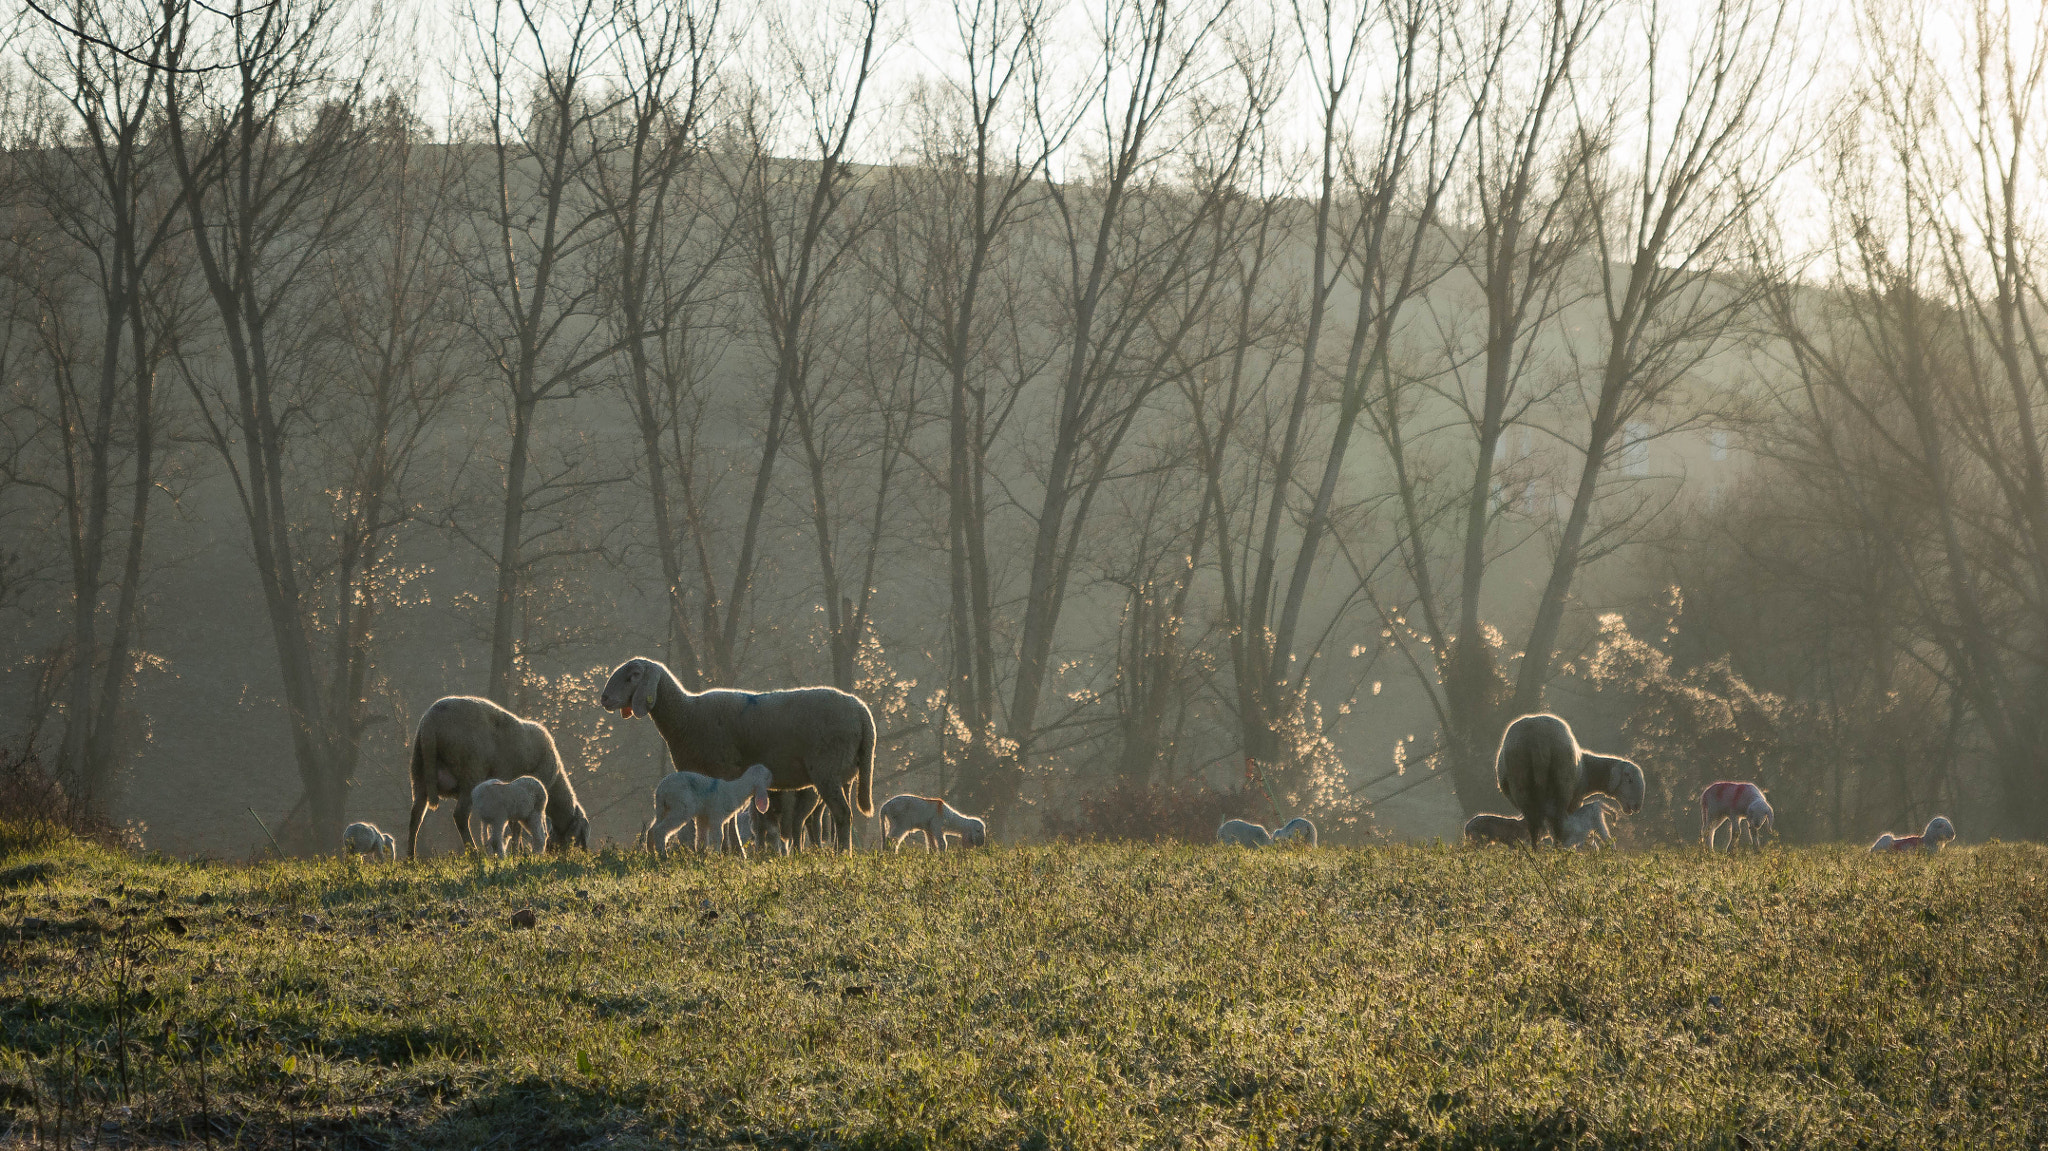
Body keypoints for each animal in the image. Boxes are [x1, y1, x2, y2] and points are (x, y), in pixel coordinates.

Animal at [406, 695, 591, 860]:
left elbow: (514, 825)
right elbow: (516, 826)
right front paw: (517, 852)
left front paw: (517, 851)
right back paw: (473, 853)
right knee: (460, 815)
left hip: (419, 771)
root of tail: (431, 722)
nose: (558, 853)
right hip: (471, 770)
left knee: (415, 816)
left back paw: (411, 858)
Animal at [645, 763, 775, 861]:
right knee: (660, 830)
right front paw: (717, 856)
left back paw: (651, 854)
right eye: (768, 776)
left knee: (651, 829)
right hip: (680, 808)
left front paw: (702, 855)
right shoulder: (716, 816)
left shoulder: (703, 817)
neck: (735, 790)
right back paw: (663, 856)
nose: (774, 781)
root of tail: (661, 790)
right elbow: (719, 837)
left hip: (663, 809)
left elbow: (702, 837)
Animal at [1494, 713, 1646, 847]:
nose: (1637, 806)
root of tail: (1537, 738)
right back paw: (1559, 850)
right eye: (1630, 780)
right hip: (1563, 783)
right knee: (1557, 824)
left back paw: (1536, 852)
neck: (1588, 770)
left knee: (1533, 826)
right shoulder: (1576, 800)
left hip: (1520, 784)